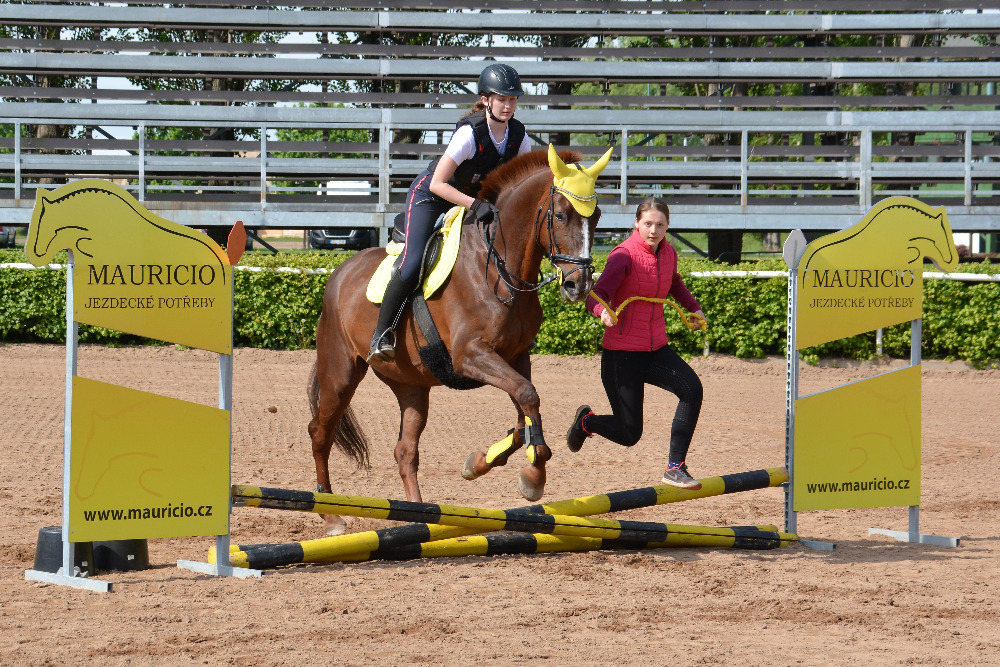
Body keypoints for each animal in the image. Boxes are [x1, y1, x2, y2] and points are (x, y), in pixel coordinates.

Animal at [308, 149, 604, 536]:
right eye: (560, 215)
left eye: (596, 217)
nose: (578, 285)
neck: (500, 268)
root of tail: (338, 274)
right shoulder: (470, 355)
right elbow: (527, 397)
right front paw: (533, 476)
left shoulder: (515, 356)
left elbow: (523, 411)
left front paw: (482, 462)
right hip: (341, 374)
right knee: (320, 432)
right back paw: (331, 515)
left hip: (411, 385)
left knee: (405, 450)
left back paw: (419, 516)